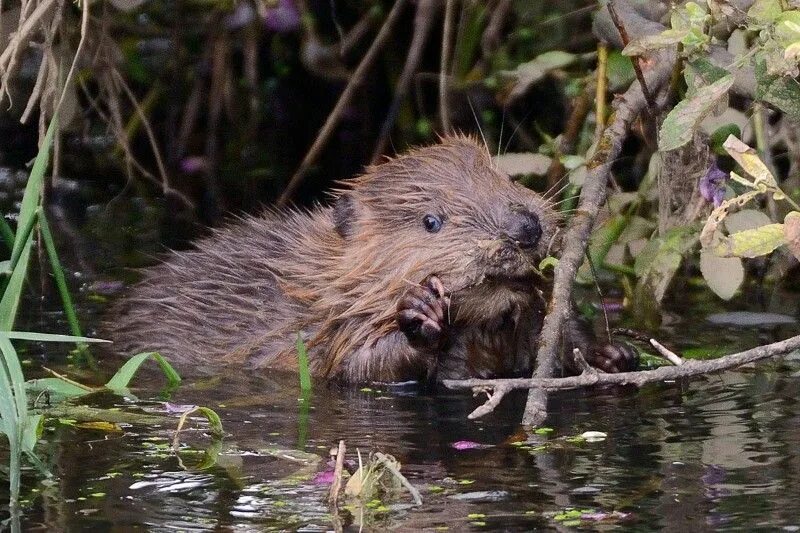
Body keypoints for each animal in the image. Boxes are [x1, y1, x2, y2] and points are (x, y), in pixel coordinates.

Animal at [108, 135, 636, 380]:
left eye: (503, 177)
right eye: (431, 221)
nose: (525, 228)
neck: (323, 284)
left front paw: (611, 352)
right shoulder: (320, 334)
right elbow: (364, 368)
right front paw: (422, 316)